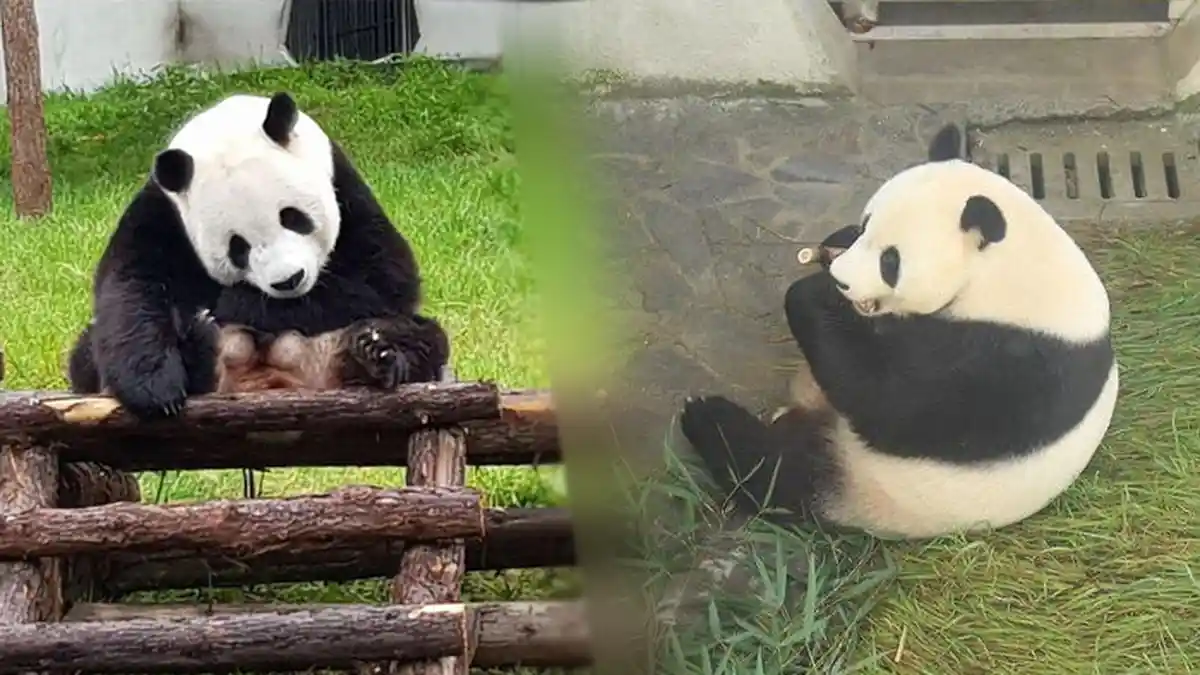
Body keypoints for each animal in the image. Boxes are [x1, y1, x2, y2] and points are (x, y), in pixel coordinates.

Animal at [66, 92, 449, 419]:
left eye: (293, 217)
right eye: (238, 246)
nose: (289, 281)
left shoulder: (346, 187)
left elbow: (383, 276)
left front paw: (237, 302)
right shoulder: (163, 211)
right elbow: (130, 290)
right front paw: (155, 389)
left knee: (425, 337)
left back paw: (374, 354)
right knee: (85, 354)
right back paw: (198, 348)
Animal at [678, 123, 1119, 540]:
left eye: (891, 261)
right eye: (865, 224)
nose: (842, 281)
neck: (1013, 269)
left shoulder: (1018, 366)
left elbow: (890, 398)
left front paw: (812, 294)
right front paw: (833, 247)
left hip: (873, 483)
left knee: (778, 474)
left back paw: (705, 416)